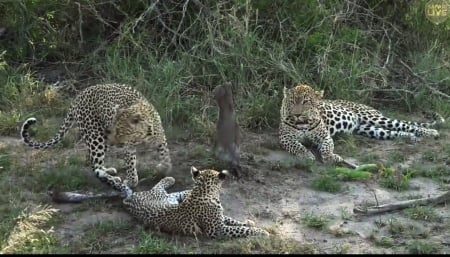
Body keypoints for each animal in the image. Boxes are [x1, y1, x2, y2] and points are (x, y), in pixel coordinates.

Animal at [20, 83, 172, 193]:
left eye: (119, 132)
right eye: (113, 129)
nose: (113, 140)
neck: (144, 136)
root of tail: (78, 97)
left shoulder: (161, 138)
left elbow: (165, 154)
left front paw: (165, 168)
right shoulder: (128, 147)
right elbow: (130, 164)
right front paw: (131, 181)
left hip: (100, 139)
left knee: (94, 162)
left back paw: (107, 170)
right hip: (96, 136)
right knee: (95, 166)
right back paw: (111, 177)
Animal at [123, 166, 268, 238]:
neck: (203, 192)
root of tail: (130, 199)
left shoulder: (220, 219)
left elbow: (233, 220)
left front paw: (249, 223)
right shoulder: (217, 230)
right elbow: (241, 229)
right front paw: (262, 232)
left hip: (172, 197)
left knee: (178, 191)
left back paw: (171, 180)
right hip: (158, 194)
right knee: (156, 187)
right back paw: (169, 178)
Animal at [280, 83, 444, 165]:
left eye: (306, 102)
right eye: (292, 101)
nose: (297, 114)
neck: (304, 122)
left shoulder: (325, 137)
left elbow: (327, 148)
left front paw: (331, 157)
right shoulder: (286, 138)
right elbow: (299, 146)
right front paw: (307, 155)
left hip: (374, 118)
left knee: (406, 125)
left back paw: (431, 133)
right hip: (368, 129)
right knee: (397, 132)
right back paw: (411, 137)